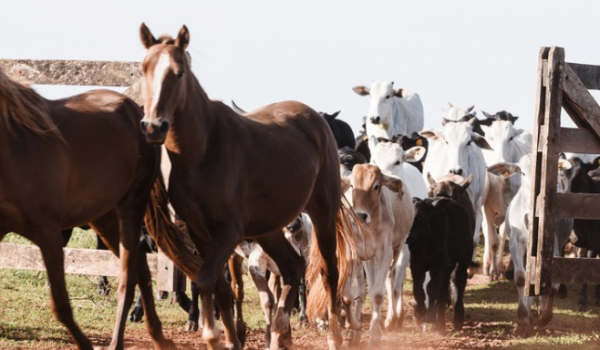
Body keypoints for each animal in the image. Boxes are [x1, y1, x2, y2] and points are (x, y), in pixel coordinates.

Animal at [0, 67, 196, 348]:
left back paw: (121, 340)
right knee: (141, 269)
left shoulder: (49, 232)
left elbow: (61, 305)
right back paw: (157, 336)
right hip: (105, 220)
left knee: (128, 278)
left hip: (130, 209)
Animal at [137, 23, 352, 348]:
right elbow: (222, 288)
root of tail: (315, 119)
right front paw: (230, 338)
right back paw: (278, 335)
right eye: (144, 69)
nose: (153, 126)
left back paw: (332, 337)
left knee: (328, 273)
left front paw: (212, 335)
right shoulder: (200, 233)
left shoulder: (228, 231)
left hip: (322, 213)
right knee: (292, 268)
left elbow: (206, 281)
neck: (204, 151)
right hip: (269, 229)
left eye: (180, 72)